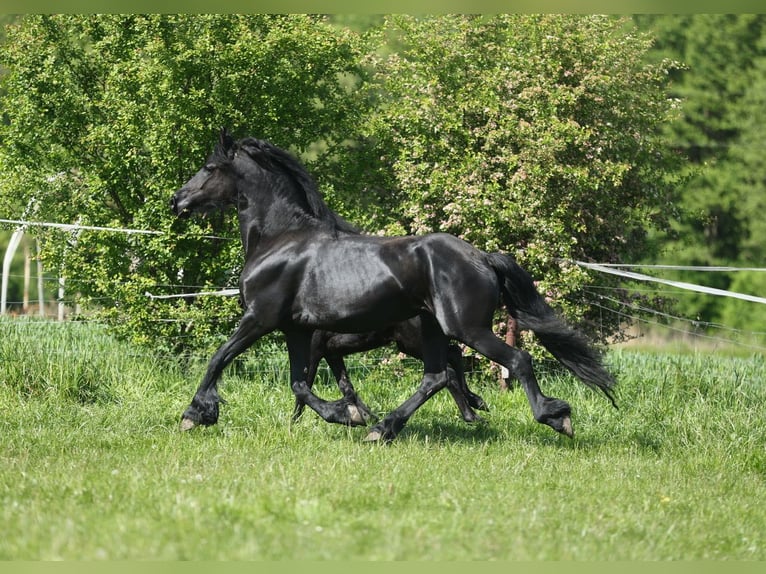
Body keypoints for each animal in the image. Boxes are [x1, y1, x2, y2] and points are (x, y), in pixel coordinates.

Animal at [170, 130, 616, 444]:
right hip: (432, 329)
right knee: (437, 376)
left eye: (209, 167)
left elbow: (218, 359)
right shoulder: (297, 330)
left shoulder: (259, 319)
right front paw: (346, 415)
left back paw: (555, 417)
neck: (282, 239)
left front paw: (195, 414)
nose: (178, 201)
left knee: (515, 360)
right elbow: (301, 384)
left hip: (465, 328)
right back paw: (384, 428)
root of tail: (482, 257)